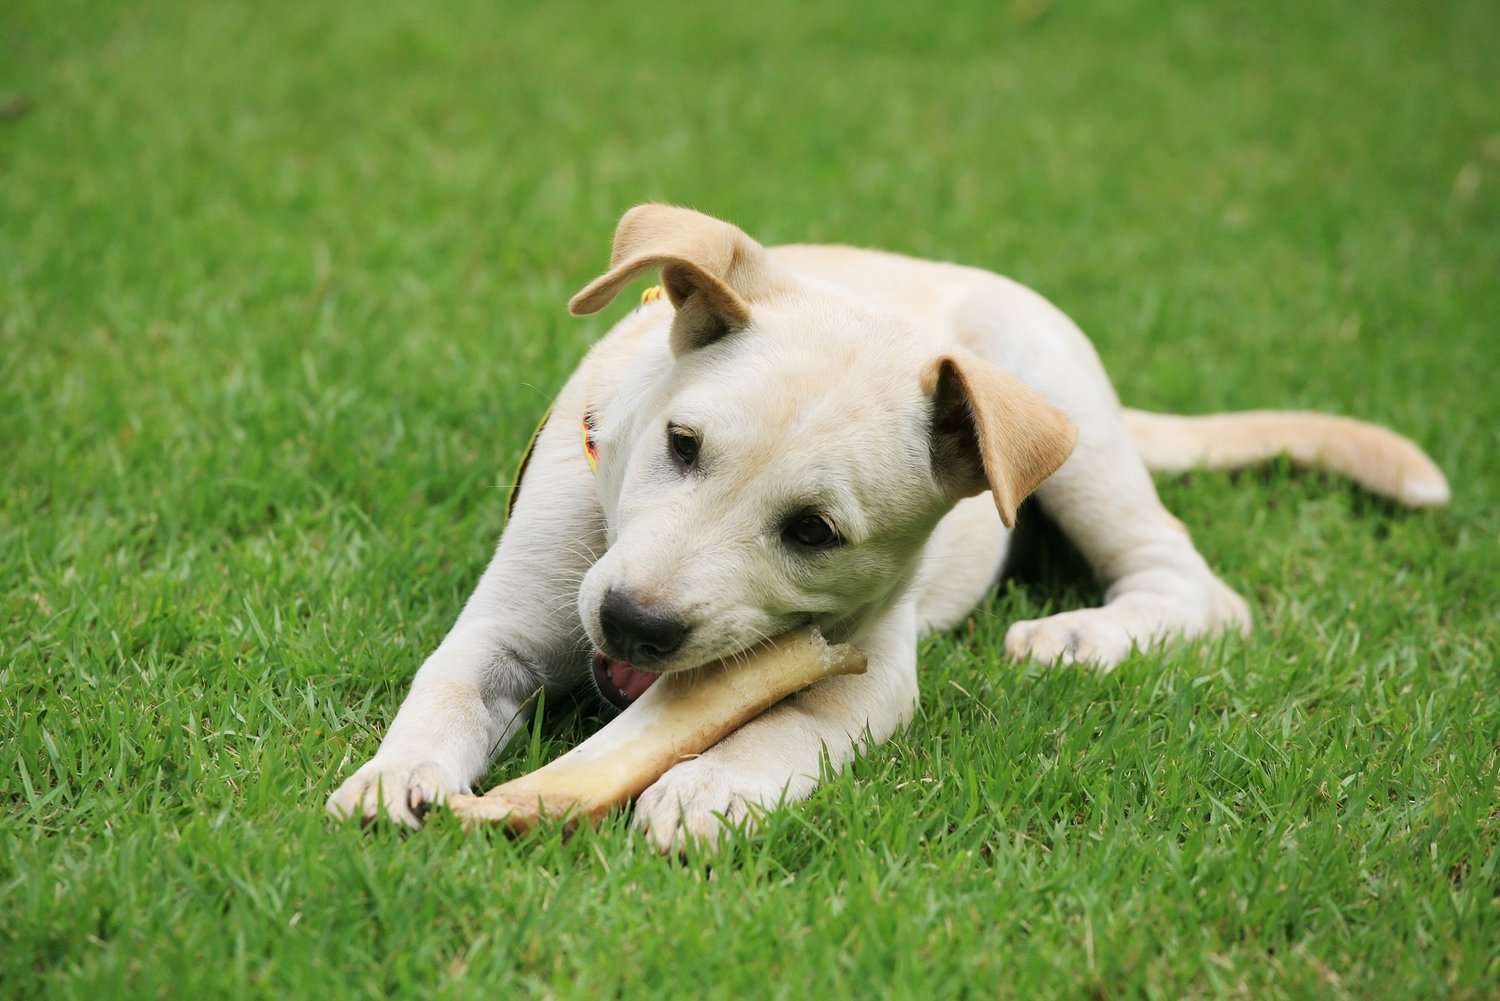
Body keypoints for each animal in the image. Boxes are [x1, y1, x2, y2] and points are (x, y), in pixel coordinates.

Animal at [322, 204, 1446, 852]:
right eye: (681, 444)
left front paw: (710, 784)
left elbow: (782, 725)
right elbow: (448, 683)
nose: (636, 622)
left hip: (1074, 428)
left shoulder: (868, 670)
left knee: (1196, 586)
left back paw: (1079, 636)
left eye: (815, 531)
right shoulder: (512, 619)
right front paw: (394, 777)